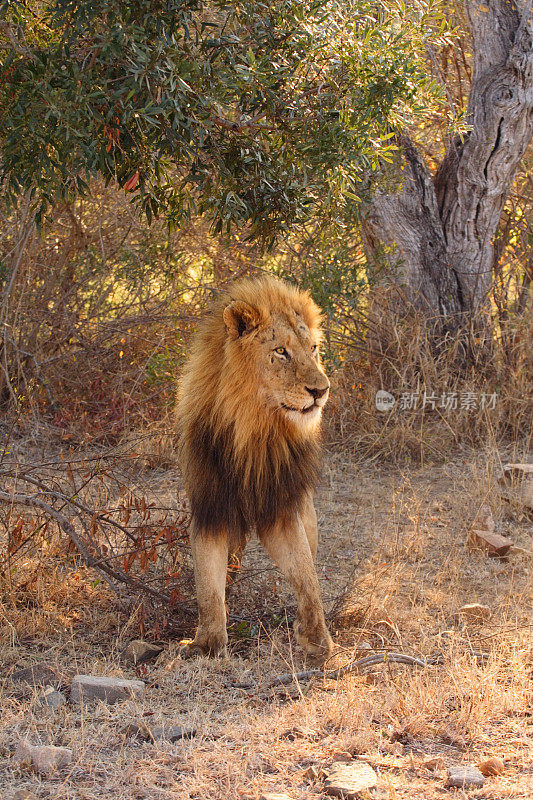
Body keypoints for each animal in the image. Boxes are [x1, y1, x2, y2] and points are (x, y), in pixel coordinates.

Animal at [175, 276, 332, 664]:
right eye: (281, 351)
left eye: (314, 348)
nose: (321, 390)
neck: (254, 427)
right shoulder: (210, 507)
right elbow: (207, 584)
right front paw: (207, 642)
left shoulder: (283, 508)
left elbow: (306, 575)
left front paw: (318, 640)